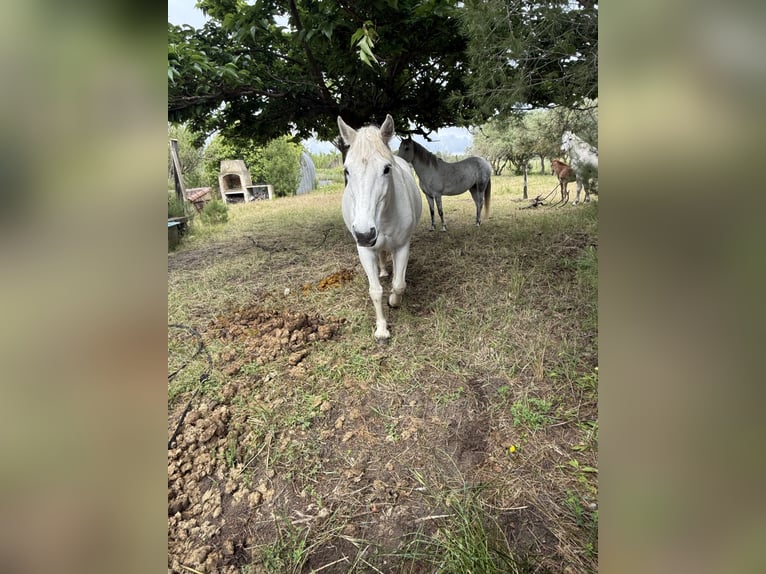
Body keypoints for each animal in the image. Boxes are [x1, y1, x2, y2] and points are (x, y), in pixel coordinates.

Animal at [337, 114, 422, 343]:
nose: (364, 233)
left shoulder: (402, 246)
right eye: (347, 170)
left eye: (386, 168)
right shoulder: (364, 250)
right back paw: (382, 271)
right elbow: (375, 291)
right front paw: (382, 330)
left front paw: (393, 301)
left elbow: (399, 284)